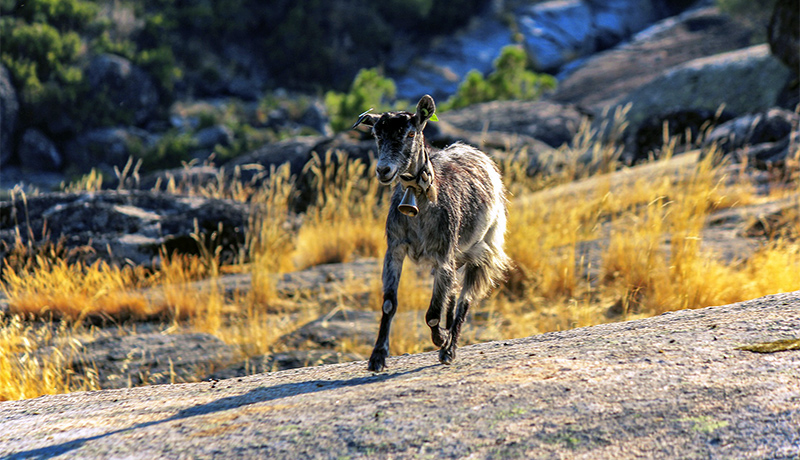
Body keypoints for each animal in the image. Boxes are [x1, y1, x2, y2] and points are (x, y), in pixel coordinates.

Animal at [354, 95, 510, 372]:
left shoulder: (443, 254)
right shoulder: (395, 250)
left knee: (465, 299)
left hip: (484, 248)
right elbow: (389, 303)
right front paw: (377, 357)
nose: (383, 170)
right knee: (454, 293)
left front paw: (441, 338)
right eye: (376, 134)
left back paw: (449, 349)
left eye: (410, 133)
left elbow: (432, 314)